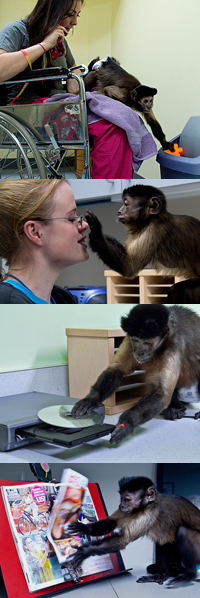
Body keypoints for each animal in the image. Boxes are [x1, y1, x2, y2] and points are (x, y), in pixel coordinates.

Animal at [67, 478, 200, 592]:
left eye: (127, 499)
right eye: (121, 498)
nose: (121, 505)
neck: (148, 504)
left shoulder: (147, 513)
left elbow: (122, 540)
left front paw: (84, 552)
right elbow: (111, 523)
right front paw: (84, 528)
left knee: (183, 532)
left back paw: (189, 574)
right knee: (161, 541)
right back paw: (164, 574)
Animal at [71, 308, 200, 448]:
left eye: (148, 342)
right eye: (136, 340)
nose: (140, 352)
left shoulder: (173, 347)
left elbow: (162, 393)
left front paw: (127, 422)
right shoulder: (129, 340)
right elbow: (115, 370)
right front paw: (90, 400)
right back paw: (174, 409)